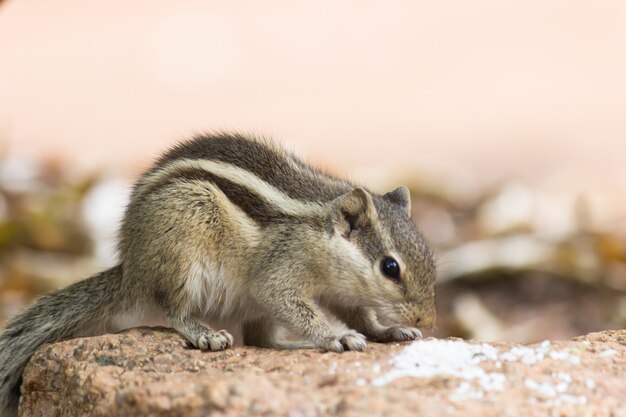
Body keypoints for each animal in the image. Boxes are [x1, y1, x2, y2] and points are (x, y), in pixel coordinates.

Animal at [0, 132, 434, 412]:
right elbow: (293, 303)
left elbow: (362, 316)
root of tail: (130, 268)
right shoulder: (280, 273)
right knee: (175, 309)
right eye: (390, 267)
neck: (323, 236)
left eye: (429, 255)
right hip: (183, 248)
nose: (427, 320)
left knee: (260, 340)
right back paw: (204, 333)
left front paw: (389, 331)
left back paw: (290, 346)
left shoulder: (344, 294)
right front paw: (336, 336)